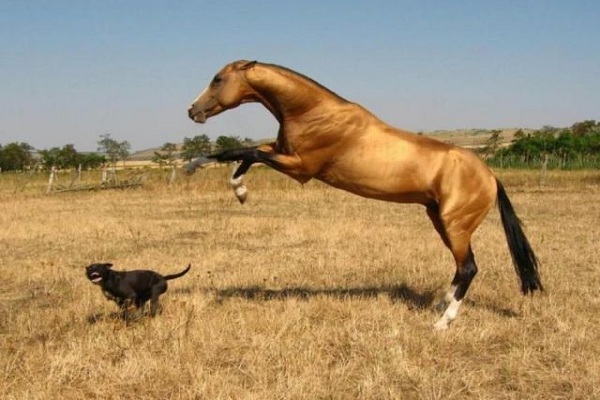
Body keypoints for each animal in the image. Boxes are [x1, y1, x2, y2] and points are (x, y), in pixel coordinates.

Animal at [187, 60, 543, 330]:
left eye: (218, 79)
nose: (192, 111)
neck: (314, 112)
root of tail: (491, 176)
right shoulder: (282, 153)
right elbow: (247, 154)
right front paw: (237, 189)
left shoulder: (300, 167)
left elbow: (242, 150)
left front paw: (196, 167)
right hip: (440, 220)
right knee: (461, 267)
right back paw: (441, 301)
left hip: (455, 224)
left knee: (469, 268)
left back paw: (442, 322)